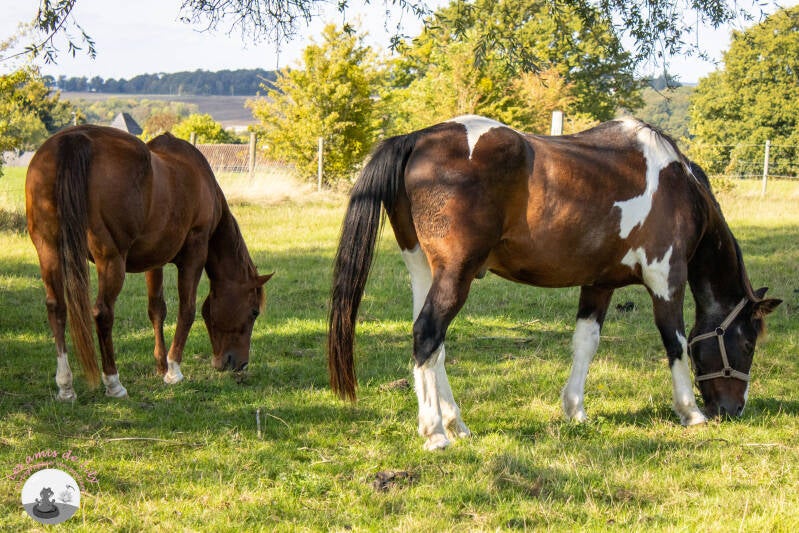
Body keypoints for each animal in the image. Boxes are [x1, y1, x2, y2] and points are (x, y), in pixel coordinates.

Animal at [26, 125, 272, 400]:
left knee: (56, 308)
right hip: (111, 260)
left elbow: (157, 309)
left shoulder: (155, 261)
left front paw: (161, 365)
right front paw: (173, 370)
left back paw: (65, 385)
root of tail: (74, 138)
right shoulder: (195, 253)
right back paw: (113, 382)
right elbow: (187, 310)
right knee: (103, 312)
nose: (240, 364)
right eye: (253, 312)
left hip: (49, 250)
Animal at [328, 115, 781, 450]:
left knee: (433, 346)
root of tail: (417, 139)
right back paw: (435, 432)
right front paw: (690, 412)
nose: (733, 410)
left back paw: (455, 423)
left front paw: (575, 410)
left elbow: (586, 344)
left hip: (425, 270)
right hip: (456, 274)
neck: (678, 187)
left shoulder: (599, 284)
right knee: (427, 333)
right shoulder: (665, 278)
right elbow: (676, 343)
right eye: (747, 343)